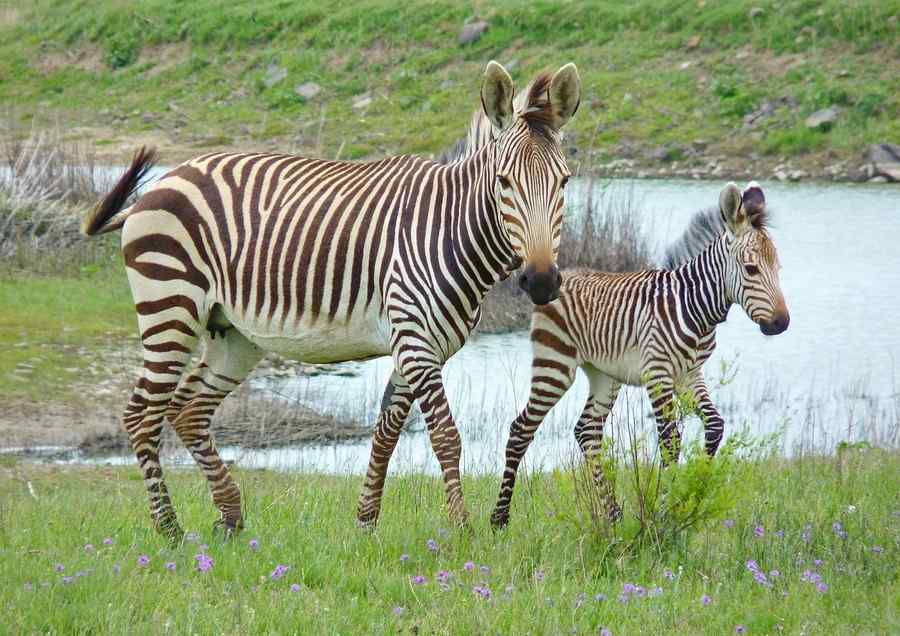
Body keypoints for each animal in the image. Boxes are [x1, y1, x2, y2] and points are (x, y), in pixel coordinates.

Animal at [81, 61, 582, 539]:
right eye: (504, 182)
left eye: (564, 183)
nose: (541, 282)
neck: (450, 229)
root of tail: (161, 183)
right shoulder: (416, 342)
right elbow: (445, 436)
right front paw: (462, 529)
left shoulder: (419, 345)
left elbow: (386, 430)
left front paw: (366, 521)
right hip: (170, 307)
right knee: (142, 415)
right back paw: (169, 528)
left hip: (232, 333)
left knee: (188, 411)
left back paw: (230, 517)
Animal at [490, 182, 790, 528]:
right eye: (751, 269)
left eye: (778, 268)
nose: (782, 324)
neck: (694, 306)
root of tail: (558, 277)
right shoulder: (658, 373)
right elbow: (670, 440)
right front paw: (667, 510)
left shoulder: (689, 374)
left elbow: (715, 425)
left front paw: (695, 493)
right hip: (555, 364)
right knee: (521, 429)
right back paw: (499, 518)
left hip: (604, 375)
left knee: (587, 431)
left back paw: (613, 514)